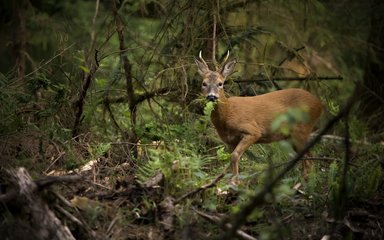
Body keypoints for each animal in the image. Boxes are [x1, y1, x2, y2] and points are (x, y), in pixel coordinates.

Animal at [195, 52, 324, 184]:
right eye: (204, 83)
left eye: (220, 84)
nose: (211, 96)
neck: (226, 115)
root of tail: (319, 104)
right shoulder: (229, 140)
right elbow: (231, 158)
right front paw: (232, 183)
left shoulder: (253, 131)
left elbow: (235, 156)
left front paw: (236, 183)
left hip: (301, 129)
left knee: (309, 159)